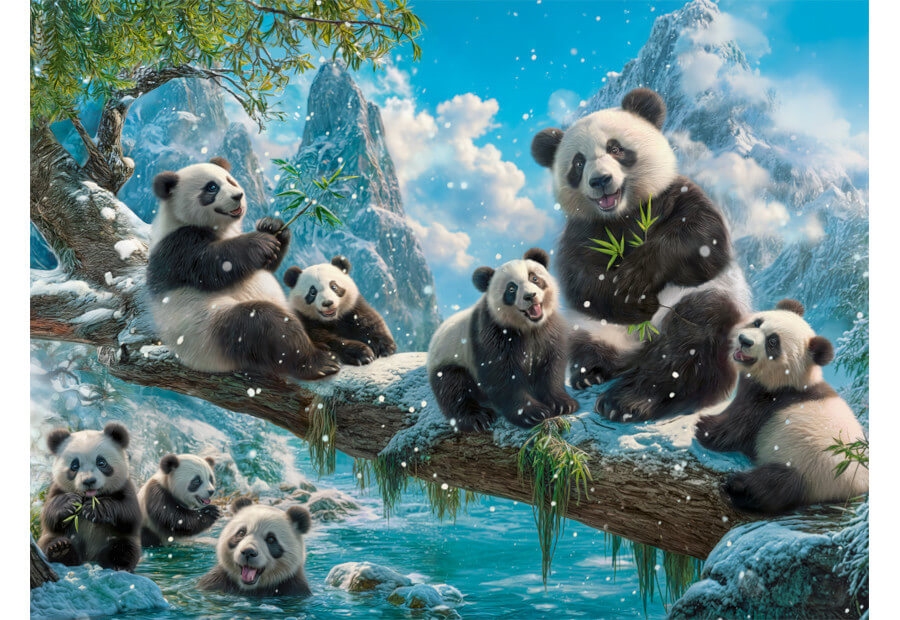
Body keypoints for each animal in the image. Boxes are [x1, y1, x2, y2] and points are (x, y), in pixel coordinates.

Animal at [37, 422, 142, 571]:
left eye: (101, 462)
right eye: (74, 465)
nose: (89, 481)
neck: (90, 497)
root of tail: (90, 559)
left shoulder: (125, 486)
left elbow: (130, 515)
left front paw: (94, 509)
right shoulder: (57, 488)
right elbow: (48, 517)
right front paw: (69, 503)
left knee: (124, 547)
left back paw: (118, 564)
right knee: (48, 542)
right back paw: (60, 550)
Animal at [146, 157, 340, 381]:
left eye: (230, 180)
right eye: (211, 187)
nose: (238, 195)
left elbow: (266, 264)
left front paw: (271, 226)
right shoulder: (177, 245)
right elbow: (211, 265)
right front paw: (260, 242)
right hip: (212, 331)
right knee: (264, 324)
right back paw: (319, 362)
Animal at [427, 247, 578, 432]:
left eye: (534, 278)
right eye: (511, 289)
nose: (530, 296)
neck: (529, 327)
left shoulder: (549, 329)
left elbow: (552, 367)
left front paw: (564, 403)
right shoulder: (493, 332)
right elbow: (502, 374)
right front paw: (532, 413)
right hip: (450, 357)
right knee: (453, 388)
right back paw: (477, 417)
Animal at [531, 87, 751, 422]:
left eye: (616, 148)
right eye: (578, 163)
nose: (600, 181)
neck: (622, 214)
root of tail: (638, 347)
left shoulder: (674, 193)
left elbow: (703, 240)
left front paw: (633, 281)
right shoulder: (584, 228)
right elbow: (577, 276)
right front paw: (630, 298)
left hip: (700, 308)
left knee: (690, 339)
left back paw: (627, 400)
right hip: (592, 327)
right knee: (581, 340)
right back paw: (593, 372)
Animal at [695, 299, 869, 514]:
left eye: (772, 342)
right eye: (757, 323)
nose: (745, 340)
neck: (792, 381)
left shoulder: (768, 402)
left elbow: (732, 429)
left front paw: (703, 427)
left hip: (809, 471)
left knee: (775, 484)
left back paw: (738, 485)